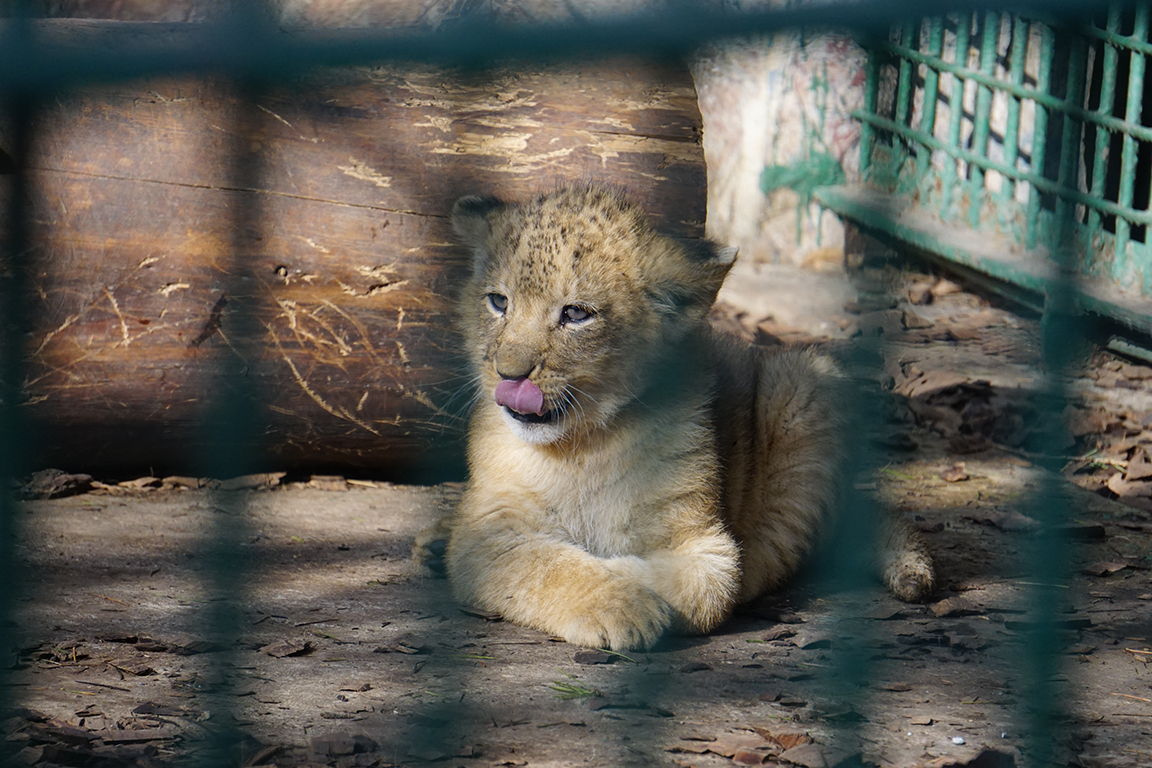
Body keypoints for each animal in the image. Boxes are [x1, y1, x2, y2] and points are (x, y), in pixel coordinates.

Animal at [436, 185, 934, 650]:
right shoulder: (487, 528)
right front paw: (620, 602)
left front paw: (628, 583)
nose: (508, 374)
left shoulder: (703, 538)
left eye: (576, 314)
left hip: (807, 390)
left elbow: (710, 581)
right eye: (498, 302)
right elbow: (543, 564)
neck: (582, 445)